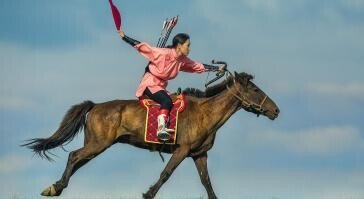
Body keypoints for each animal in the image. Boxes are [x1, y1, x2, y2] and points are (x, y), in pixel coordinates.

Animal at [22, 70, 278, 198]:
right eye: (255, 89)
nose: (276, 110)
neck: (206, 112)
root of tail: (94, 106)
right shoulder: (182, 150)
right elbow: (166, 174)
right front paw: (147, 194)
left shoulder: (199, 154)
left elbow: (207, 183)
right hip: (98, 144)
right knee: (73, 156)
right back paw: (54, 188)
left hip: (96, 145)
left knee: (76, 161)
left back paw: (55, 187)